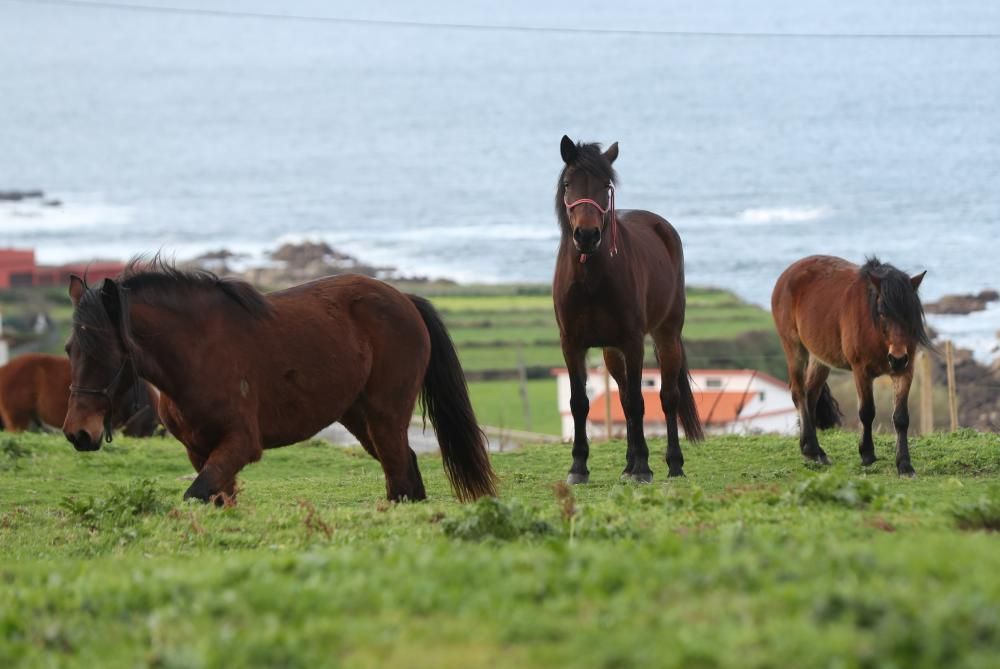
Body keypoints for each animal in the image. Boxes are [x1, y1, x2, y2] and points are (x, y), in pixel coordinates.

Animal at [59, 260, 496, 500]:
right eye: (69, 349)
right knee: (404, 472)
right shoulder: (200, 451)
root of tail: (405, 300)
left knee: (401, 476)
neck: (197, 352)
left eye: (104, 352)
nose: (78, 433)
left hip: (385, 416)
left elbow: (194, 495)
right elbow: (215, 499)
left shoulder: (240, 444)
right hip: (360, 419)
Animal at [556, 136, 704, 482]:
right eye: (568, 183)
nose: (586, 235)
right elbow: (580, 402)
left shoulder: (633, 341)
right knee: (622, 398)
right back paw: (628, 463)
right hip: (611, 352)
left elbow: (639, 402)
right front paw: (578, 466)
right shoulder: (571, 344)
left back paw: (672, 464)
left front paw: (644, 468)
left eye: (605, 184)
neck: (591, 280)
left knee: (667, 397)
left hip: (666, 334)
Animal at [772, 252, 928, 474]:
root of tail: (787, 274)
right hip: (794, 348)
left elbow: (901, 417)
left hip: (820, 359)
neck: (876, 333)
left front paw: (904, 464)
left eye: (910, 314)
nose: (897, 358)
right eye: (882, 312)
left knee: (811, 395)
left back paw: (813, 450)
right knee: (799, 393)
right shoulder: (861, 370)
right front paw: (867, 454)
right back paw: (813, 449)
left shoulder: (905, 371)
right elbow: (867, 412)